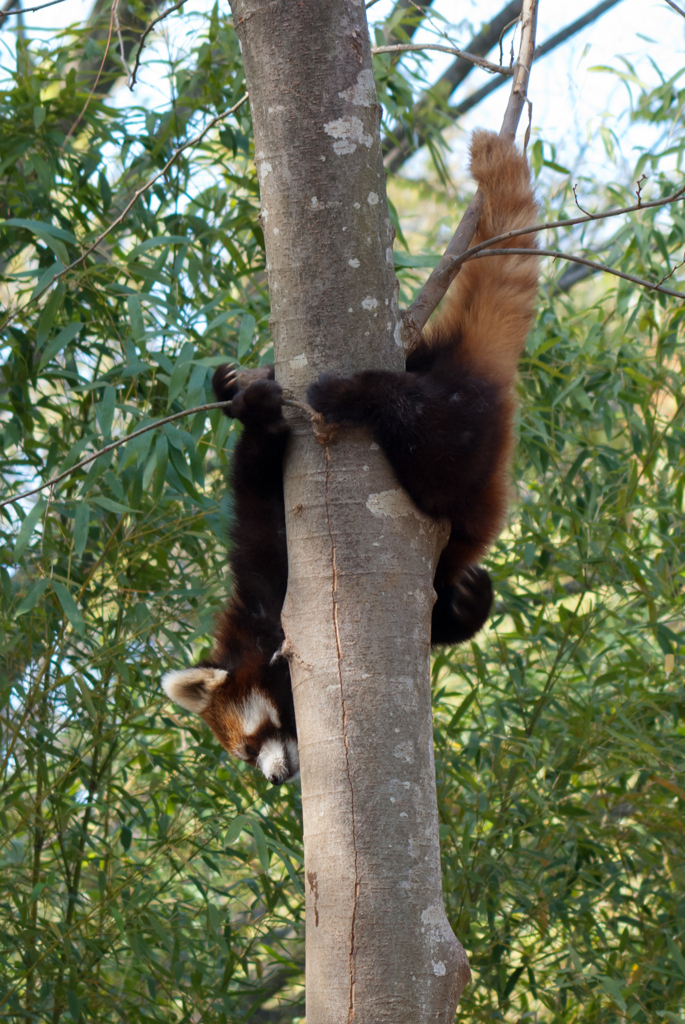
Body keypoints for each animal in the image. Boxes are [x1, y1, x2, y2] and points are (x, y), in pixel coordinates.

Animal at [161, 128, 540, 782]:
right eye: (245, 754)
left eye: (260, 734)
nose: (276, 776)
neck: (259, 621)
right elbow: (438, 619)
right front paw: (469, 601)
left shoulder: (274, 568)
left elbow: (256, 479)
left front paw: (251, 405)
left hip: (451, 436)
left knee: (423, 433)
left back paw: (358, 393)